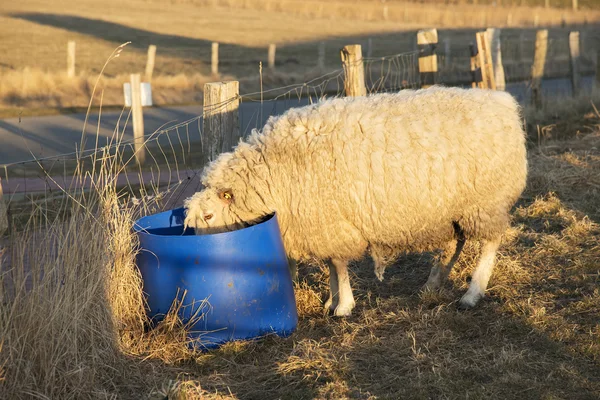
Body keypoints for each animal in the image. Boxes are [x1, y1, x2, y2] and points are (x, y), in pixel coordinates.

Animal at [185, 86, 528, 316]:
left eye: (209, 217)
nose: (204, 254)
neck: (274, 172)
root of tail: (504, 103)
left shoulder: (331, 220)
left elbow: (337, 264)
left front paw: (343, 305)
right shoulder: (322, 223)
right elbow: (330, 264)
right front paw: (331, 300)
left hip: (485, 202)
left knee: (490, 243)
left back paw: (473, 292)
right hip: (454, 208)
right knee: (454, 243)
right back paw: (433, 282)